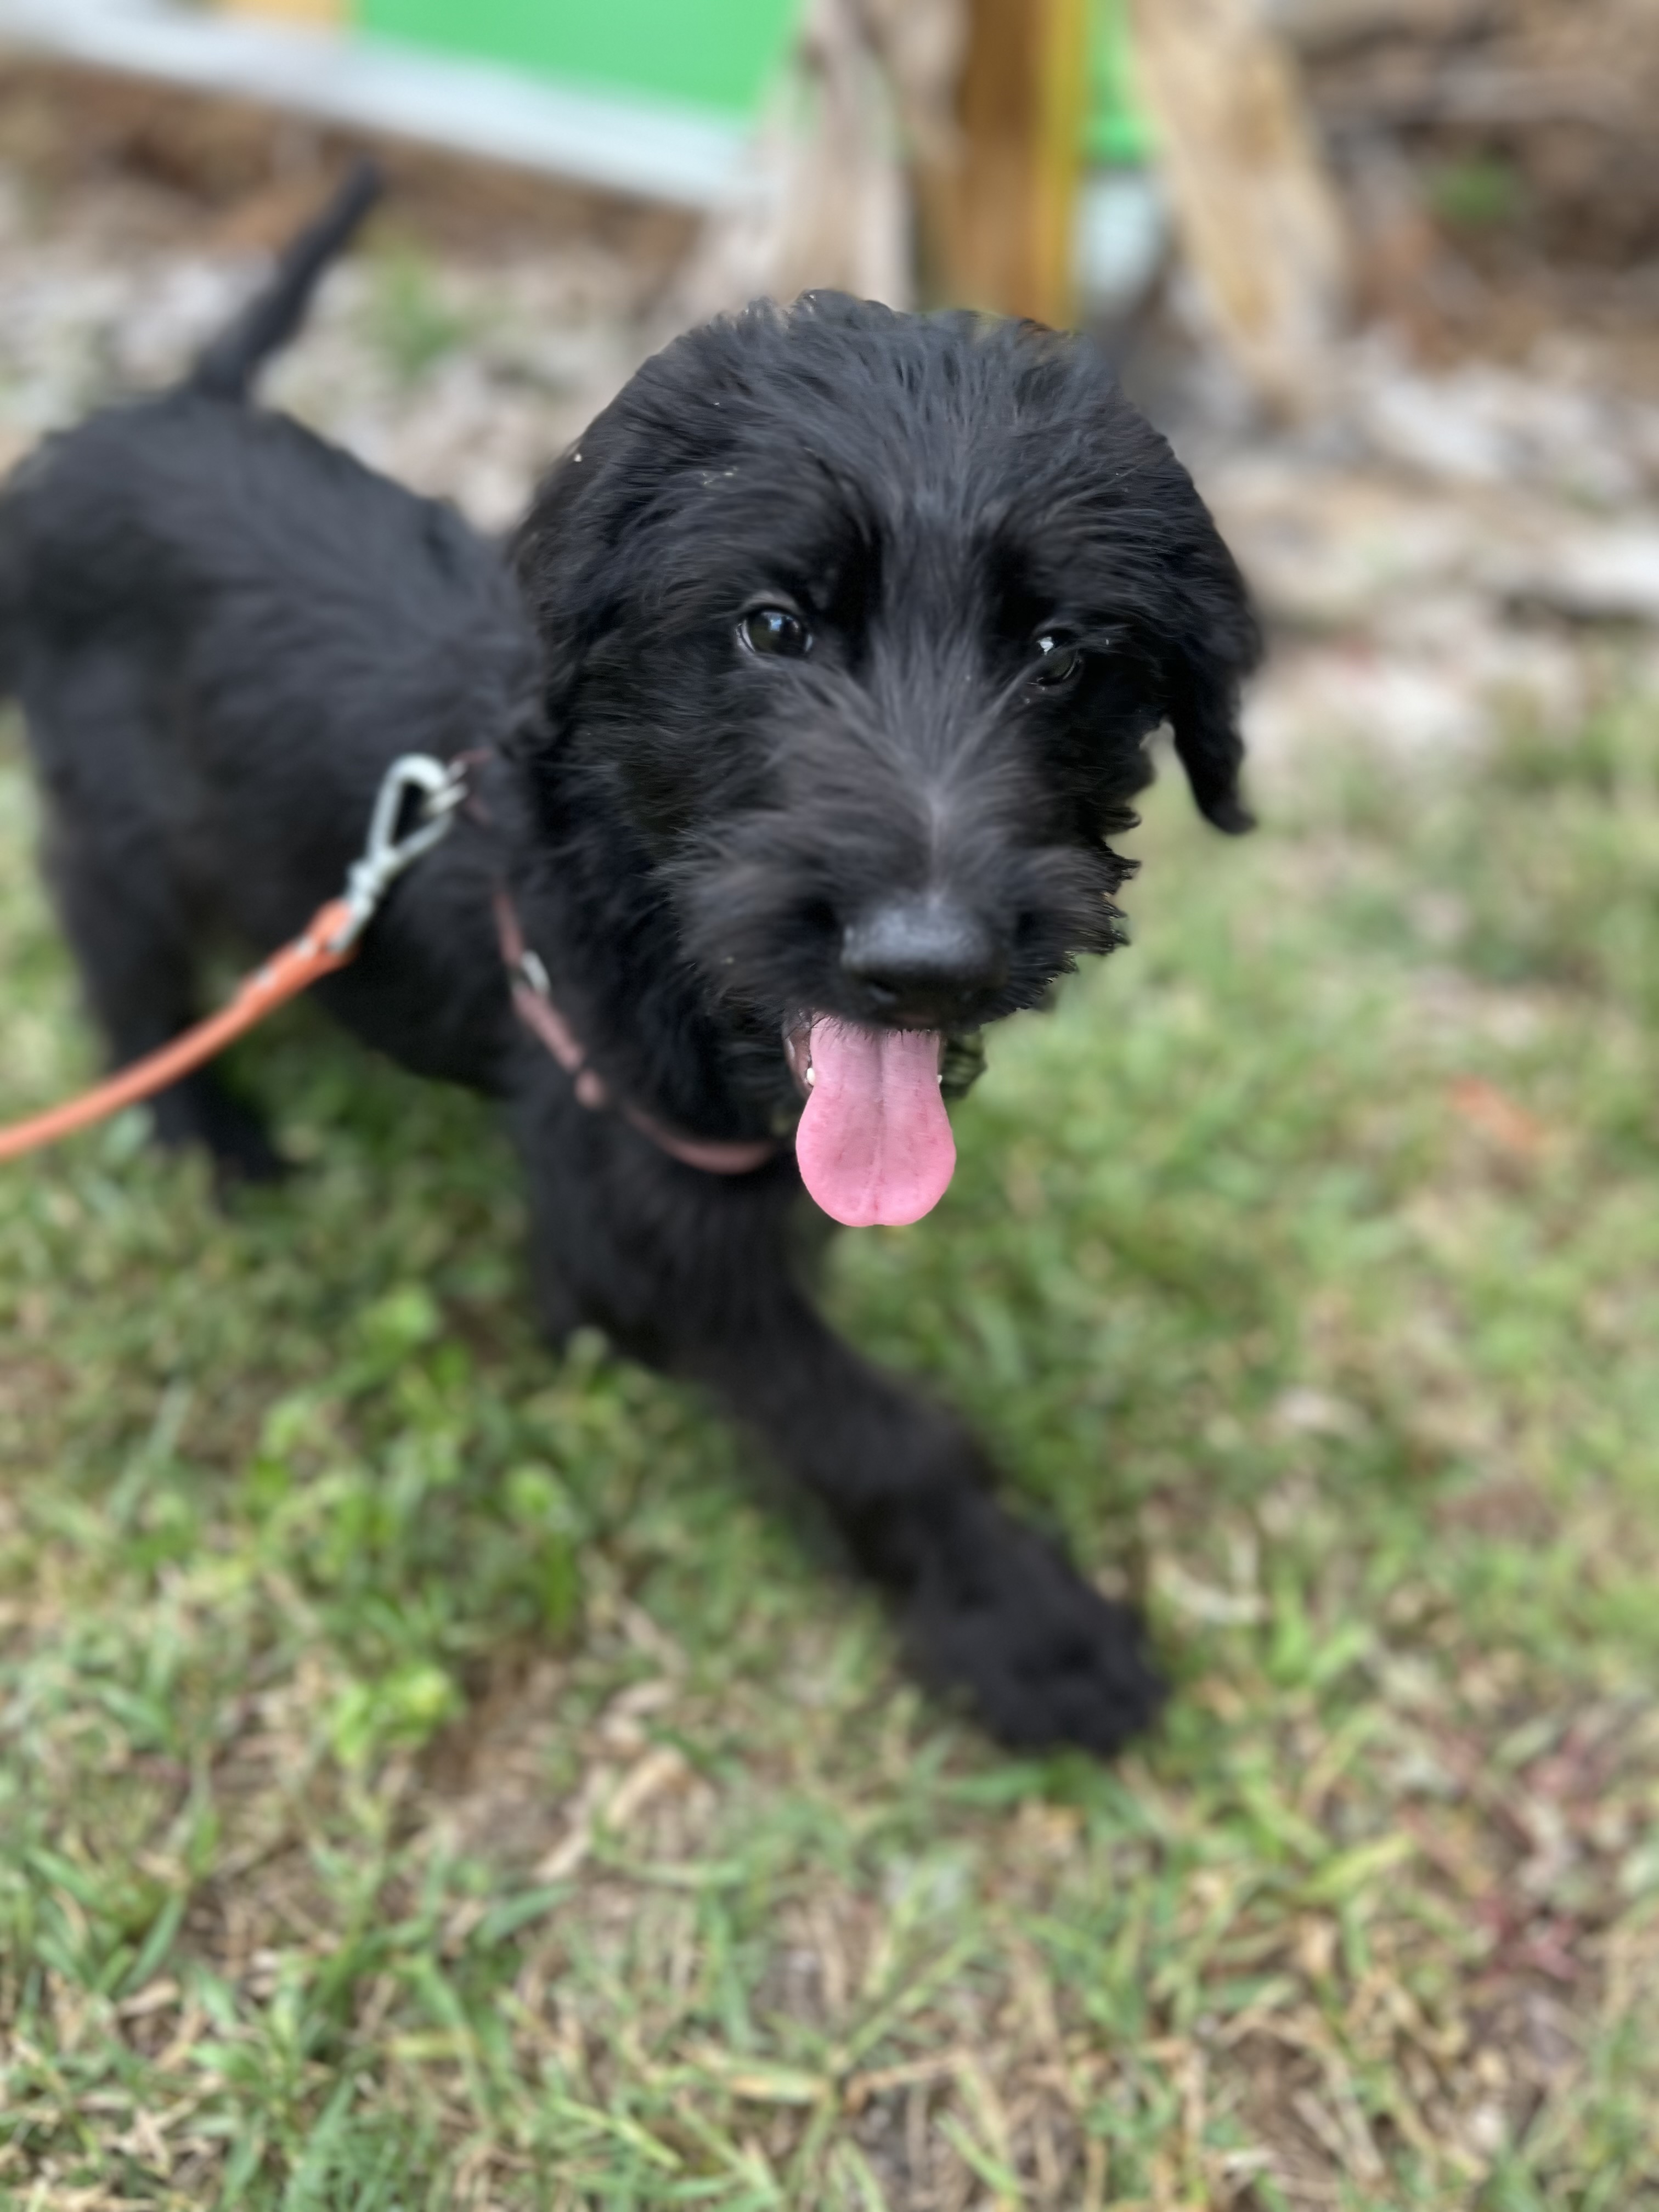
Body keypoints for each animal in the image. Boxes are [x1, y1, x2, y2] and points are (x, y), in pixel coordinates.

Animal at [0, 173, 1260, 1755]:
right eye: (775, 627)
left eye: (1062, 652)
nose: (925, 962)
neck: (619, 886)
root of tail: (157, 410)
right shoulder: (645, 1204)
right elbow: (877, 1431)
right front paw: (1030, 1630)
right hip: (115, 825)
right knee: (116, 952)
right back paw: (202, 1128)